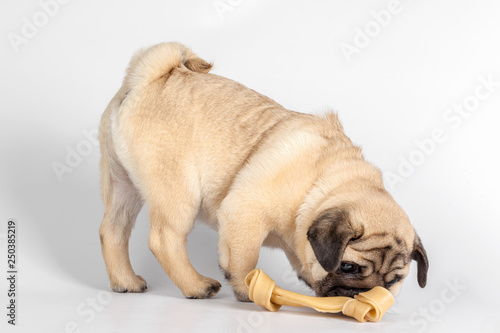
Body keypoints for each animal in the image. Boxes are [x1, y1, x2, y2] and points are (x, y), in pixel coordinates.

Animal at [98, 42, 430, 300]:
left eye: (393, 281)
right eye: (348, 267)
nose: (365, 294)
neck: (321, 183)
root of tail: (146, 79)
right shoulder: (243, 211)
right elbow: (245, 257)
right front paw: (247, 288)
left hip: (121, 183)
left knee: (112, 230)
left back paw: (125, 282)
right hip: (178, 193)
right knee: (165, 239)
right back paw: (196, 286)